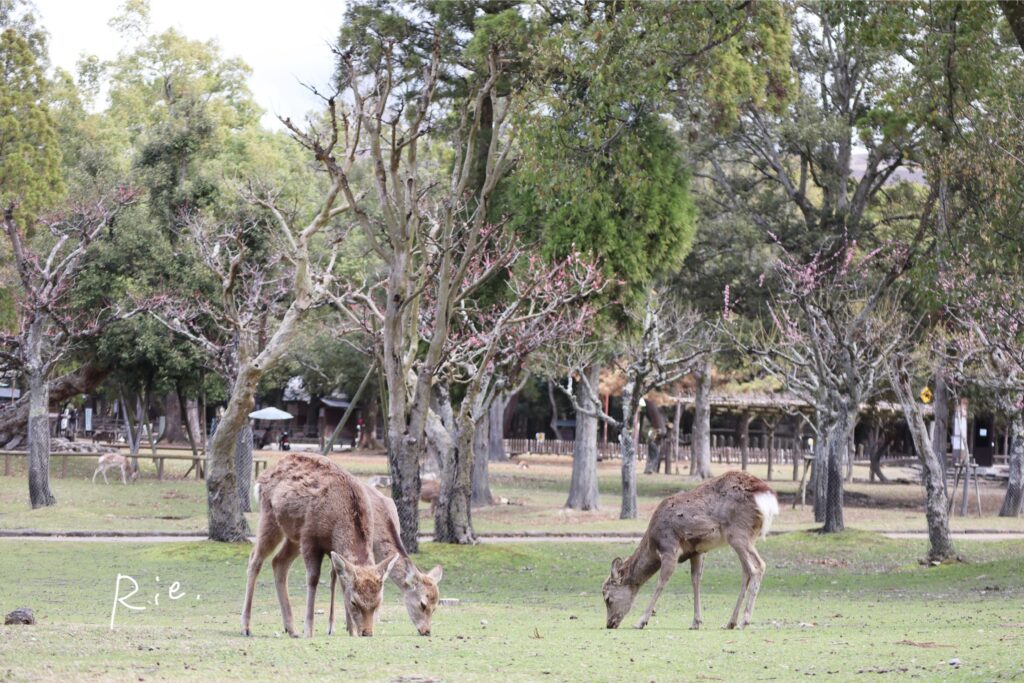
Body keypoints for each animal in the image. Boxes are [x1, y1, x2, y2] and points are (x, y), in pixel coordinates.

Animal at [241, 453, 398, 638]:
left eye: (378, 602)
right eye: (354, 602)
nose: (366, 632)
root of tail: (262, 478)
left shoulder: (330, 548)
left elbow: (340, 580)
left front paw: (351, 631)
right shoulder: (310, 537)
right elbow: (313, 578)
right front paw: (308, 630)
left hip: (293, 535)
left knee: (279, 562)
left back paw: (291, 628)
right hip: (270, 517)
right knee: (255, 559)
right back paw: (246, 627)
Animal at [327, 481, 443, 636]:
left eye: (435, 607)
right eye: (422, 604)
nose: (426, 631)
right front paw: (356, 628)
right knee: (335, 576)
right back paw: (332, 627)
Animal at [602, 471, 779, 631]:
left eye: (607, 598)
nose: (609, 624)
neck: (653, 544)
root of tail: (767, 497)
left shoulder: (669, 547)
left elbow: (661, 582)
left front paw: (641, 621)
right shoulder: (697, 552)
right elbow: (696, 581)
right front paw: (696, 622)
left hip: (738, 533)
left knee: (758, 567)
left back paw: (743, 621)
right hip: (747, 537)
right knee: (746, 572)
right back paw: (730, 622)